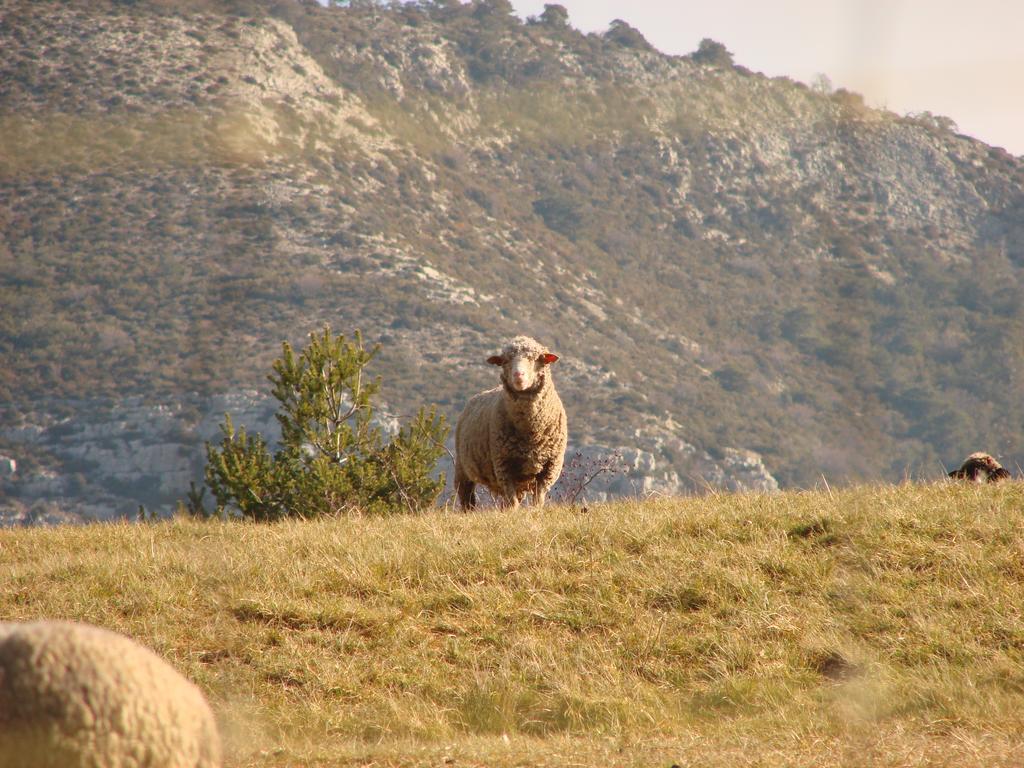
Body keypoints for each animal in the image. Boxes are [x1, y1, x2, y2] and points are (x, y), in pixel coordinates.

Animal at [456, 335, 569, 512]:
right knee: (466, 497)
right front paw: (513, 514)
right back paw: (468, 512)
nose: (518, 375)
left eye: (537, 358)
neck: (531, 432)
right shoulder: (504, 465)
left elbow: (538, 498)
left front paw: (535, 511)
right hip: (462, 468)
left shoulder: (550, 467)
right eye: (505, 360)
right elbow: (512, 501)